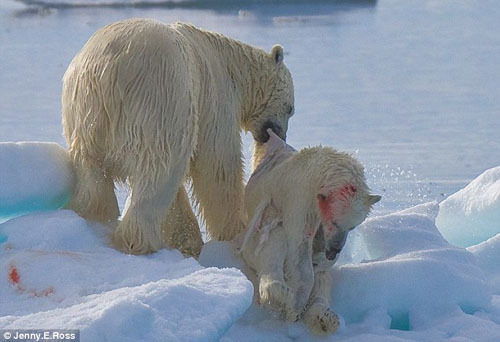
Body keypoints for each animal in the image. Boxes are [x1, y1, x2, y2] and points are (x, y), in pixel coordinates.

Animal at [61, 17, 292, 255]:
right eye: (290, 109)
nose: (279, 136)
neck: (232, 64)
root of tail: (109, 71)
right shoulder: (216, 96)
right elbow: (217, 165)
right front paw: (234, 230)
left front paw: (187, 241)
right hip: (160, 98)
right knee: (159, 171)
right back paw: (140, 240)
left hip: (83, 111)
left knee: (91, 170)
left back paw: (93, 216)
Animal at [237, 130, 378, 336]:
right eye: (334, 222)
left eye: (352, 227)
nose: (334, 250)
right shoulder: (300, 198)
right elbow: (299, 245)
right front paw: (293, 309)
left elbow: (320, 266)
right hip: (254, 237)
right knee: (273, 242)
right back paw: (280, 294)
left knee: (323, 277)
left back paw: (325, 318)